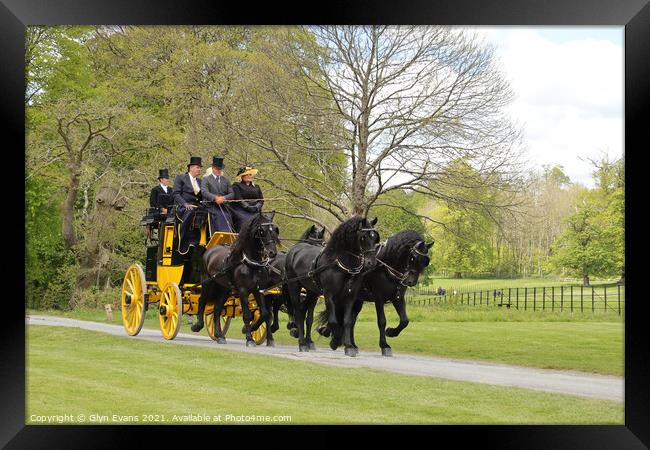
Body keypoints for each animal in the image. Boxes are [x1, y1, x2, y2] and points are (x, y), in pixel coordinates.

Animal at [189, 213, 278, 346]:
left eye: (275, 230)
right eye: (262, 231)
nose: (272, 253)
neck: (250, 263)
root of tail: (210, 251)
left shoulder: (259, 290)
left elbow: (265, 313)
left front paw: (257, 332)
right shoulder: (243, 290)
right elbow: (247, 315)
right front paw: (249, 339)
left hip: (224, 289)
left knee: (217, 309)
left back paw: (219, 335)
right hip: (208, 284)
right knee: (202, 301)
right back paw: (198, 325)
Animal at [284, 216, 380, 356]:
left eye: (375, 237)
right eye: (363, 237)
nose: (371, 263)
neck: (343, 265)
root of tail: (294, 249)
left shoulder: (350, 297)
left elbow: (347, 321)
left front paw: (349, 346)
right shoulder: (329, 296)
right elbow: (334, 320)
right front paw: (335, 341)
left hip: (312, 292)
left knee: (303, 312)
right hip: (293, 286)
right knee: (298, 312)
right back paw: (302, 343)